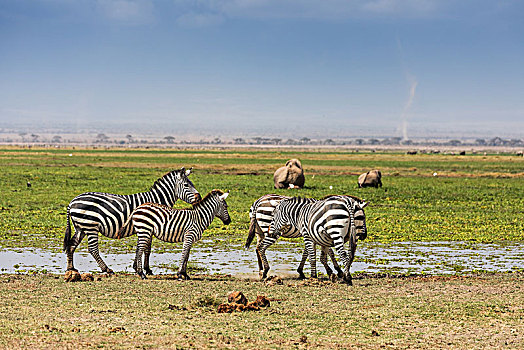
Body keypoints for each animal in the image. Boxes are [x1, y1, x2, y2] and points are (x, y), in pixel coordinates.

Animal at [62, 167, 201, 274]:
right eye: (186, 185)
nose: (199, 198)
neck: (156, 200)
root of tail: (72, 202)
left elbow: (143, 247)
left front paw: (139, 268)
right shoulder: (149, 226)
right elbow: (147, 248)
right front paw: (146, 269)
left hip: (81, 228)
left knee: (71, 244)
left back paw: (71, 268)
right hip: (91, 226)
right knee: (92, 248)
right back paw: (106, 269)